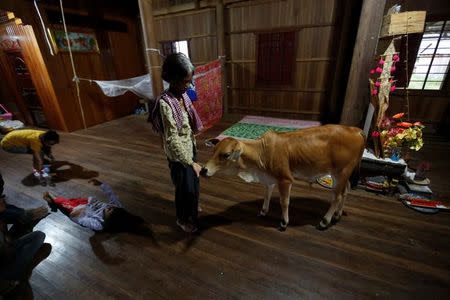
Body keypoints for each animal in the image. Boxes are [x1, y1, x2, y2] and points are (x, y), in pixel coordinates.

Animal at [202, 124, 364, 230]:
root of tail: (356, 130)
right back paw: (337, 215)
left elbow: (284, 202)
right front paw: (263, 211)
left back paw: (325, 221)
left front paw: (284, 222)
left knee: (337, 196)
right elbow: (267, 194)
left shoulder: (285, 179)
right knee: (346, 190)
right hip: (342, 175)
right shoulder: (270, 179)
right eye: (214, 151)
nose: (204, 170)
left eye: (226, 155)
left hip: (341, 172)